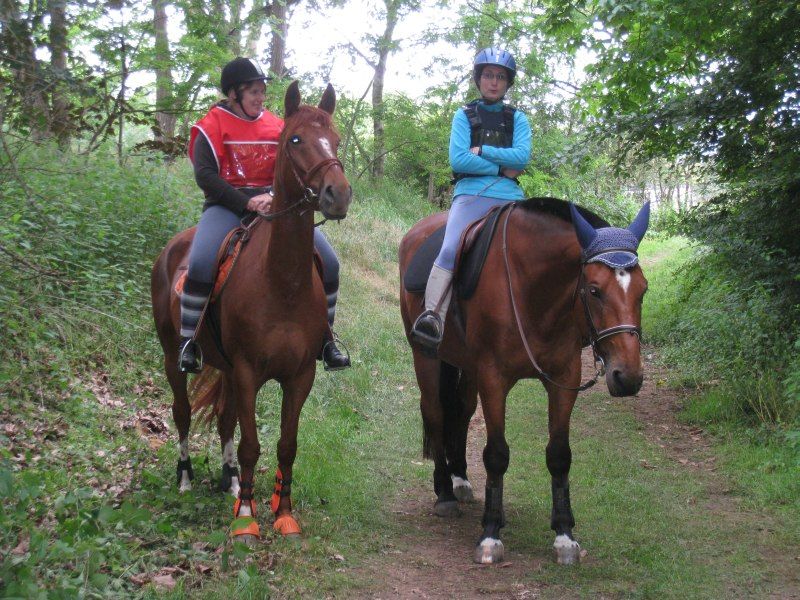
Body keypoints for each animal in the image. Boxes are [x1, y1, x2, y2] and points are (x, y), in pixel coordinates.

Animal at [398, 198, 649, 564]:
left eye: (643, 290)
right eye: (594, 290)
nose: (627, 376)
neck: (533, 290)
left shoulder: (564, 378)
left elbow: (559, 455)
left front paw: (564, 535)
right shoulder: (493, 379)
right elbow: (496, 454)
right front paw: (490, 533)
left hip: (466, 365)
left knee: (461, 411)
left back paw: (460, 479)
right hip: (426, 355)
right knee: (434, 411)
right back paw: (445, 492)